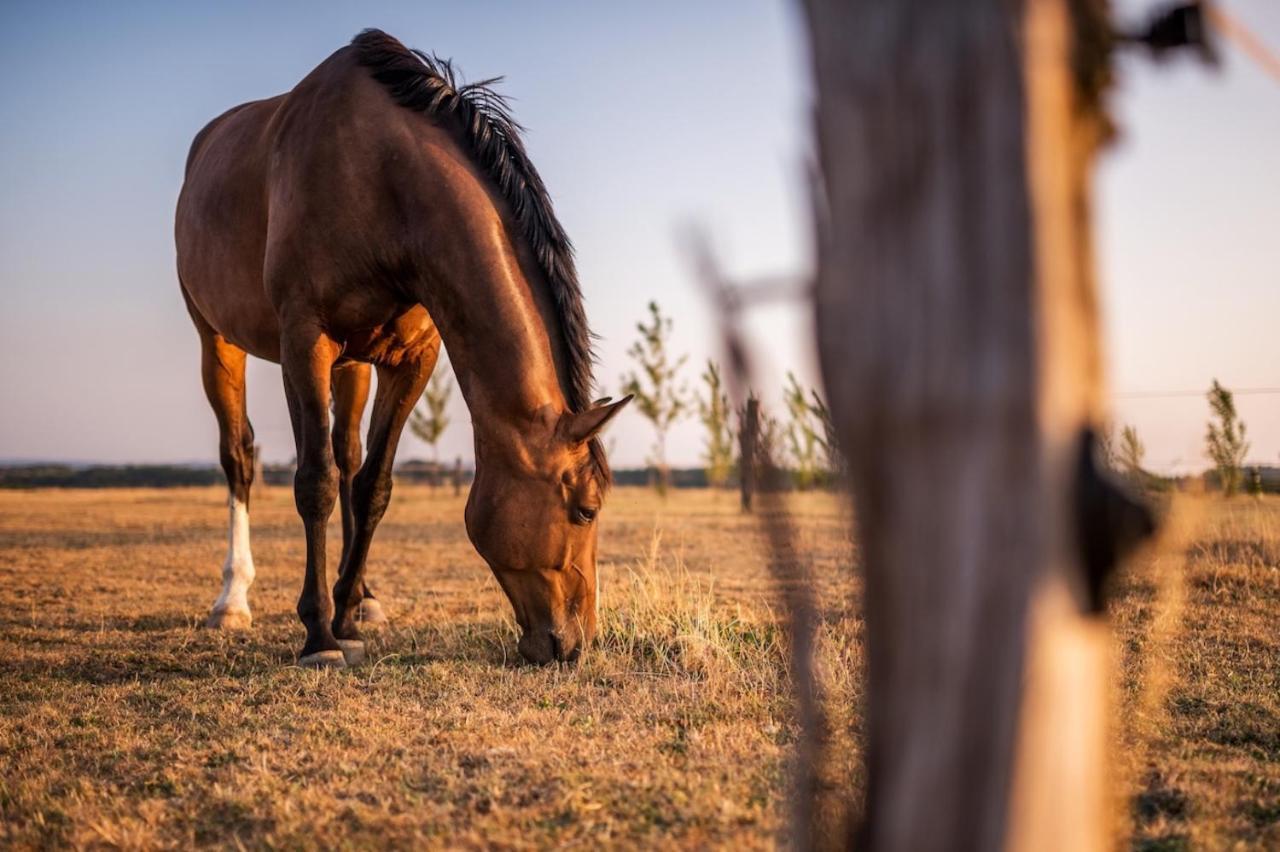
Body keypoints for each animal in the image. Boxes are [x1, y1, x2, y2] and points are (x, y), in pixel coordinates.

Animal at [172, 29, 632, 665]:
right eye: (586, 509)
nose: (576, 642)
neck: (383, 183)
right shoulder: (305, 340)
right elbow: (314, 481)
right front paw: (319, 634)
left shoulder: (411, 361)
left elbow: (373, 486)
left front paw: (346, 615)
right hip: (216, 340)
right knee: (241, 457)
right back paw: (232, 600)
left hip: (353, 364)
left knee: (348, 456)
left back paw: (361, 596)